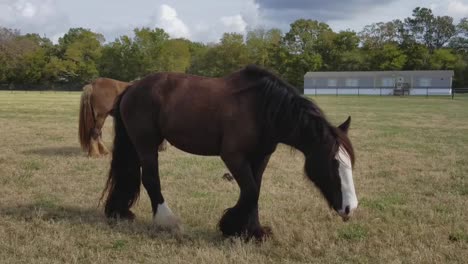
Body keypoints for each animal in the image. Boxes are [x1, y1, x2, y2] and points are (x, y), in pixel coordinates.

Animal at [101, 65, 358, 240]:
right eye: (331, 163)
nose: (350, 208)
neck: (261, 108)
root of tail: (132, 88)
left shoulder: (260, 157)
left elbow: (255, 190)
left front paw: (252, 231)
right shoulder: (233, 156)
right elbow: (251, 191)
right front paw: (231, 226)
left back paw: (119, 211)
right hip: (146, 144)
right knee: (150, 179)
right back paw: (167, 221)